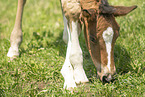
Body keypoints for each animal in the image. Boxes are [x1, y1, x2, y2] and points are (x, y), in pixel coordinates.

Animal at [7, 0, 136, 90]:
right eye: (92, 38)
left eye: (117, 35)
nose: (108, 77)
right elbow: (72, 10)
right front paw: (79, 74)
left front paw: (69, 73)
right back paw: (14, 48)